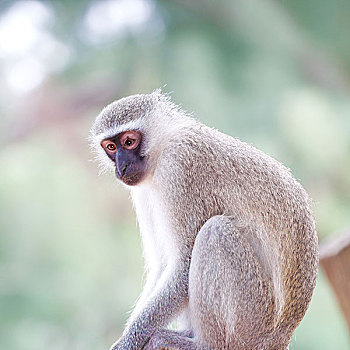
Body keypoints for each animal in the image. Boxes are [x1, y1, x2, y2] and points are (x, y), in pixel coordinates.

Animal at [89, 91, 318, 350]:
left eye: (129, 142)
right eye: (111, 147)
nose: (122, 166)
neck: (164, 144)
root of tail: (279, 339)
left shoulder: (179, 166)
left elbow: (183, 265)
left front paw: (127, 343)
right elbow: (163, 264)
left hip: (252, 319)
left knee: (215, 231)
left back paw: (204, 343)